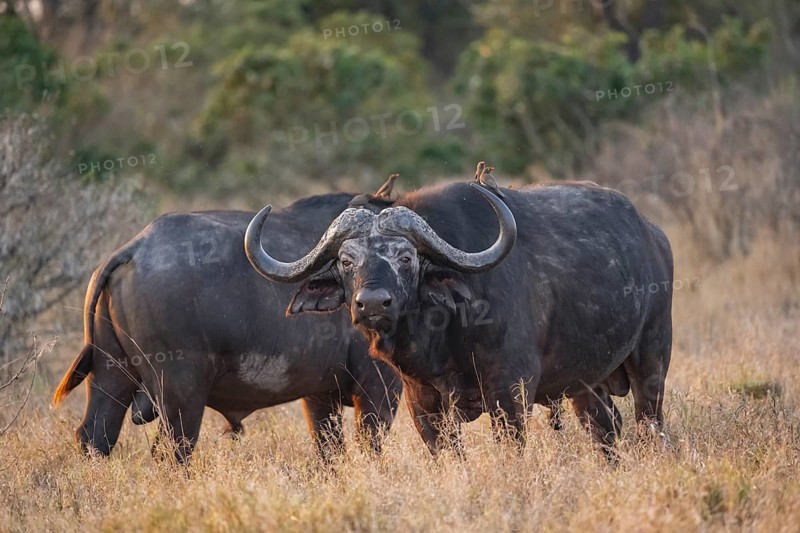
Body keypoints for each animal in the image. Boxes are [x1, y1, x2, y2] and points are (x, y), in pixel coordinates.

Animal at [53, 186, 402, 463]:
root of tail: (133, 249)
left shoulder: (319, 394)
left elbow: (330, 452)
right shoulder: (379, 387)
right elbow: (372, 446)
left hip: (110, 376)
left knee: (95, 437)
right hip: (180, 395)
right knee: (172, 450)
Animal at [245, 175, 673, 454]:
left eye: (406, 257)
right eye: (347, 261)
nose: (373, 303)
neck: (443, 338)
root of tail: (654, 234)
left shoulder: (511, 394)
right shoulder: (422, 404)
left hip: (652, 358)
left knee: (649, 422)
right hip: (586, 382)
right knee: (606, 428)